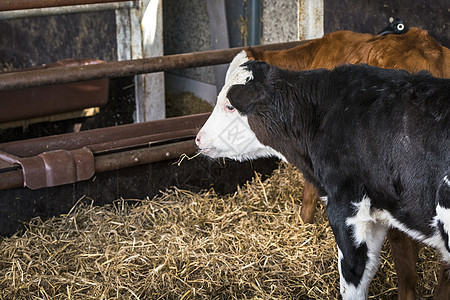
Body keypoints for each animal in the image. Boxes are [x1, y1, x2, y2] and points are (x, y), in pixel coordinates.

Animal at [196, 51, 450, 298]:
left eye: (229, 106)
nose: (198, 138)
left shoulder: (346, 206)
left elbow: (353, 275)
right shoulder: (377, 211)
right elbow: (370, 267)